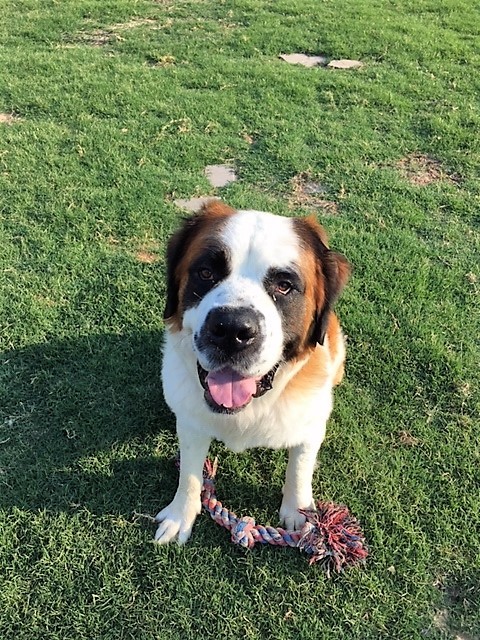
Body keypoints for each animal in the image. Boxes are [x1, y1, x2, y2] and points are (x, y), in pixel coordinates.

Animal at [156, 202, 350, 544]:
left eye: (284, 285)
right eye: (206, 273)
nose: (232, 330)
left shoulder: (312, 424)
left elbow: (300, 467)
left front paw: (299, 514)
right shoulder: (191, 422)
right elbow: (189, 472)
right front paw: (181, 514)